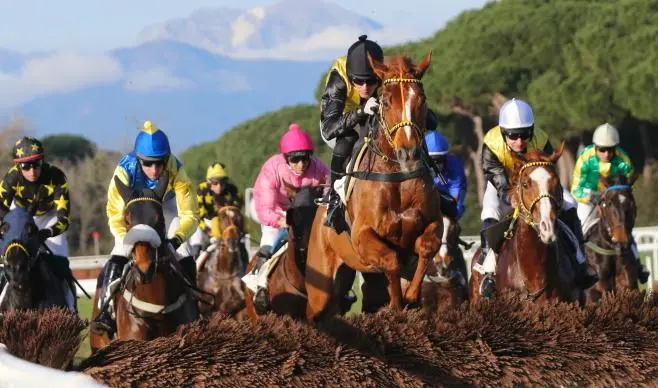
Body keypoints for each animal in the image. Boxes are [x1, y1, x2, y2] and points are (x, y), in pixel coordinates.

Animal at [304, 51, 440, 320]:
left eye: (421, 100)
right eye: (385, 102)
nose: (408, 154)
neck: (398, 177)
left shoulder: (434, 223)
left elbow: (426, 248)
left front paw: (411, 297)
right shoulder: (362, 235)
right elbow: (391, 260)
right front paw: (397, 306)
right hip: (320, 285)